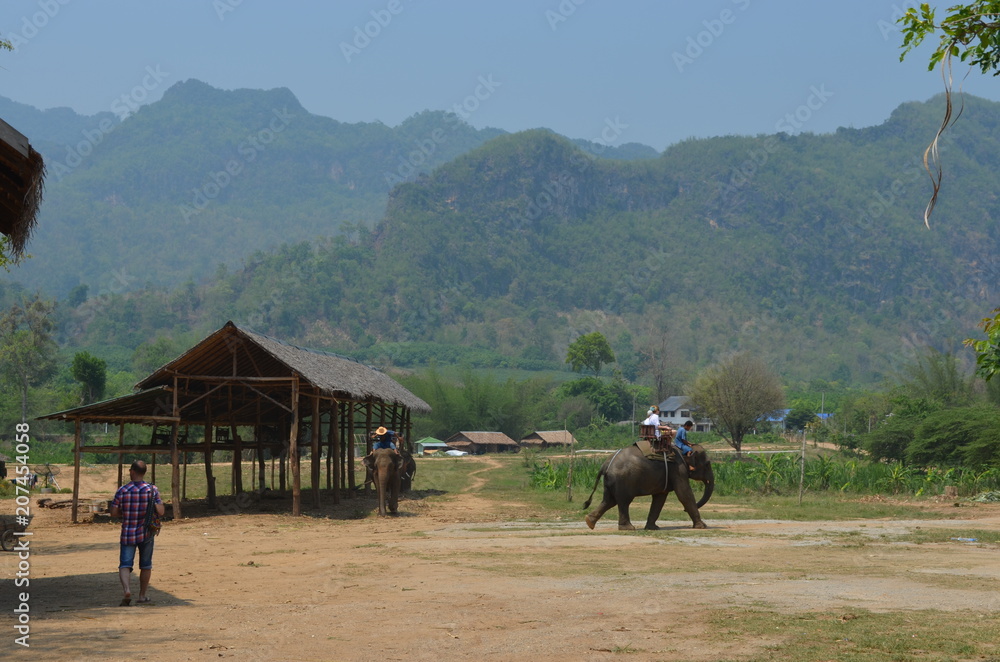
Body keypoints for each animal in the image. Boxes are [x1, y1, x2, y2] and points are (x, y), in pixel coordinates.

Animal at [584, 444, 716, 532]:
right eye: (708, 464)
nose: (683, 510)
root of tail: (606, 464)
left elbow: (660, 497)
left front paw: (653, 528)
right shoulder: (678, 469)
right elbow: (684, 493)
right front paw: (703, 526)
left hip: (611, 481)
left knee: (609, 501)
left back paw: (589, 522)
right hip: (623, 480)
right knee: (623, 501)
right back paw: (628, 528)